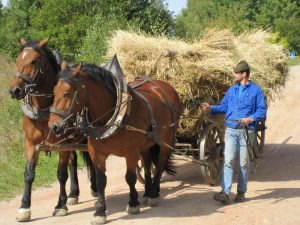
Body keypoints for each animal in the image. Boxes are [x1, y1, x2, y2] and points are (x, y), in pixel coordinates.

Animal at [7, 37, 97, 221]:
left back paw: (94, 188)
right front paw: (24, 207)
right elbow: (28, 174)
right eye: (17, 60)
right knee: (73, 162)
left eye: (33, 61)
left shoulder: (61, 145)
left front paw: (60, 205)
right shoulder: (30, 144)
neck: (44, 109)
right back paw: (73, 194)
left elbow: (61, 174)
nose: (14, 90)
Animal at [48, 59, 183, 224]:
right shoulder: (97, 153)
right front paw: (100, 211)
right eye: (54, 91)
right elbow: (101, 181)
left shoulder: (131, 152)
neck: (112, 116)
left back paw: (154, 193)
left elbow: (130, 178)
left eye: (67, 92)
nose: (54, 126)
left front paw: (133, 203)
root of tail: (163, 85)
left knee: (160, 163)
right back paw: (147, 192)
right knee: (147, 164)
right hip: (146, 143)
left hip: (166, 139)